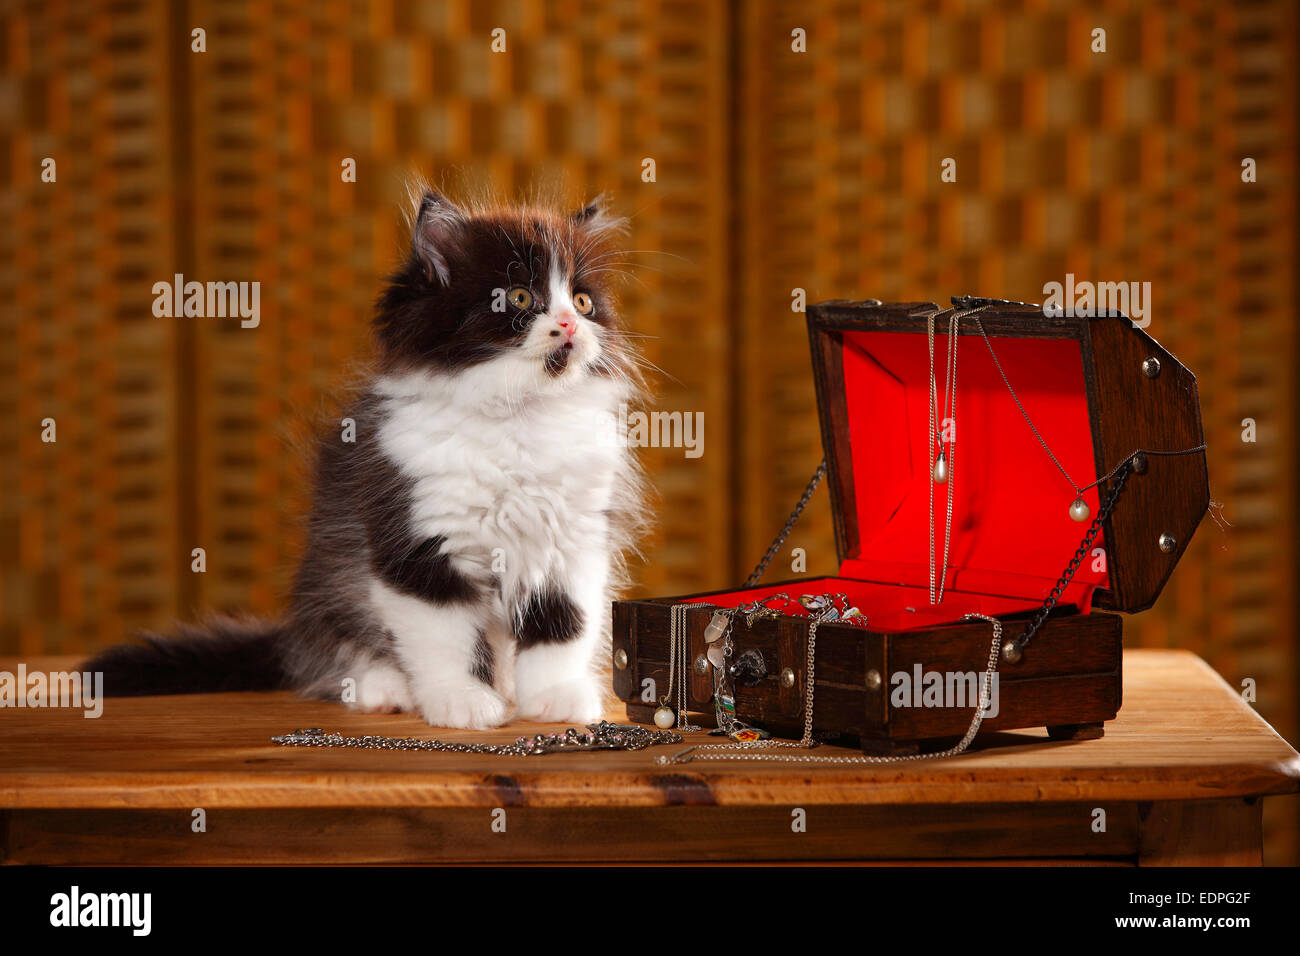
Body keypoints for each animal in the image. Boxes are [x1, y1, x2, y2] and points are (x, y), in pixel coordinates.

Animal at [83, 187, 647, 728]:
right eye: (520, 296)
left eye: (582, 301)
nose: (570, 325)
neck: (517, 419)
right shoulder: (417, 537)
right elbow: (446, 637)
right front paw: (461, 701)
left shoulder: (572, 541)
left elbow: (564, 628)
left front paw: (554, 698)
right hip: (330, 582)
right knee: (336, 651)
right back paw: (385, 688)